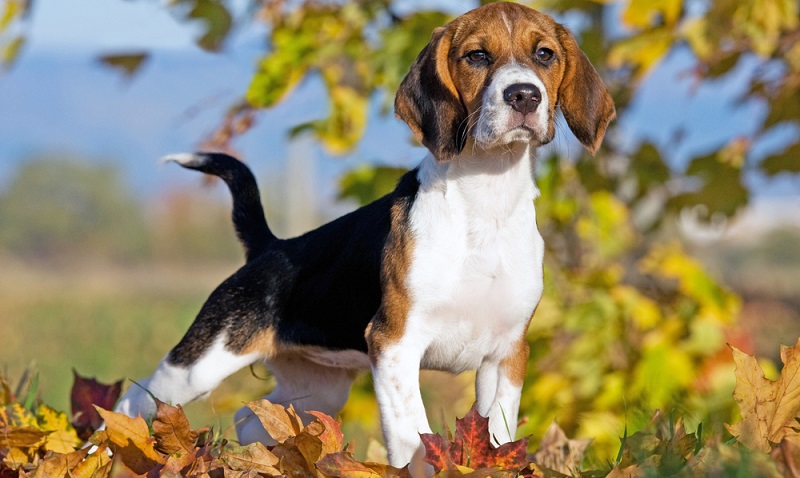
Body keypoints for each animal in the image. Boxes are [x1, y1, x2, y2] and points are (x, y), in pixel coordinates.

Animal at [114, 1, 612, 468]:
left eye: (544, 54)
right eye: (477, 56)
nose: (524, 95)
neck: (485, 198)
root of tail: (270, 246)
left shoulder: (506, 355)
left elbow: (498, 434)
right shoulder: (394, 344)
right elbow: (413, 439)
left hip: (317, 387)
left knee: (252, 417)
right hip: (197, 367)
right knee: (131, 404)